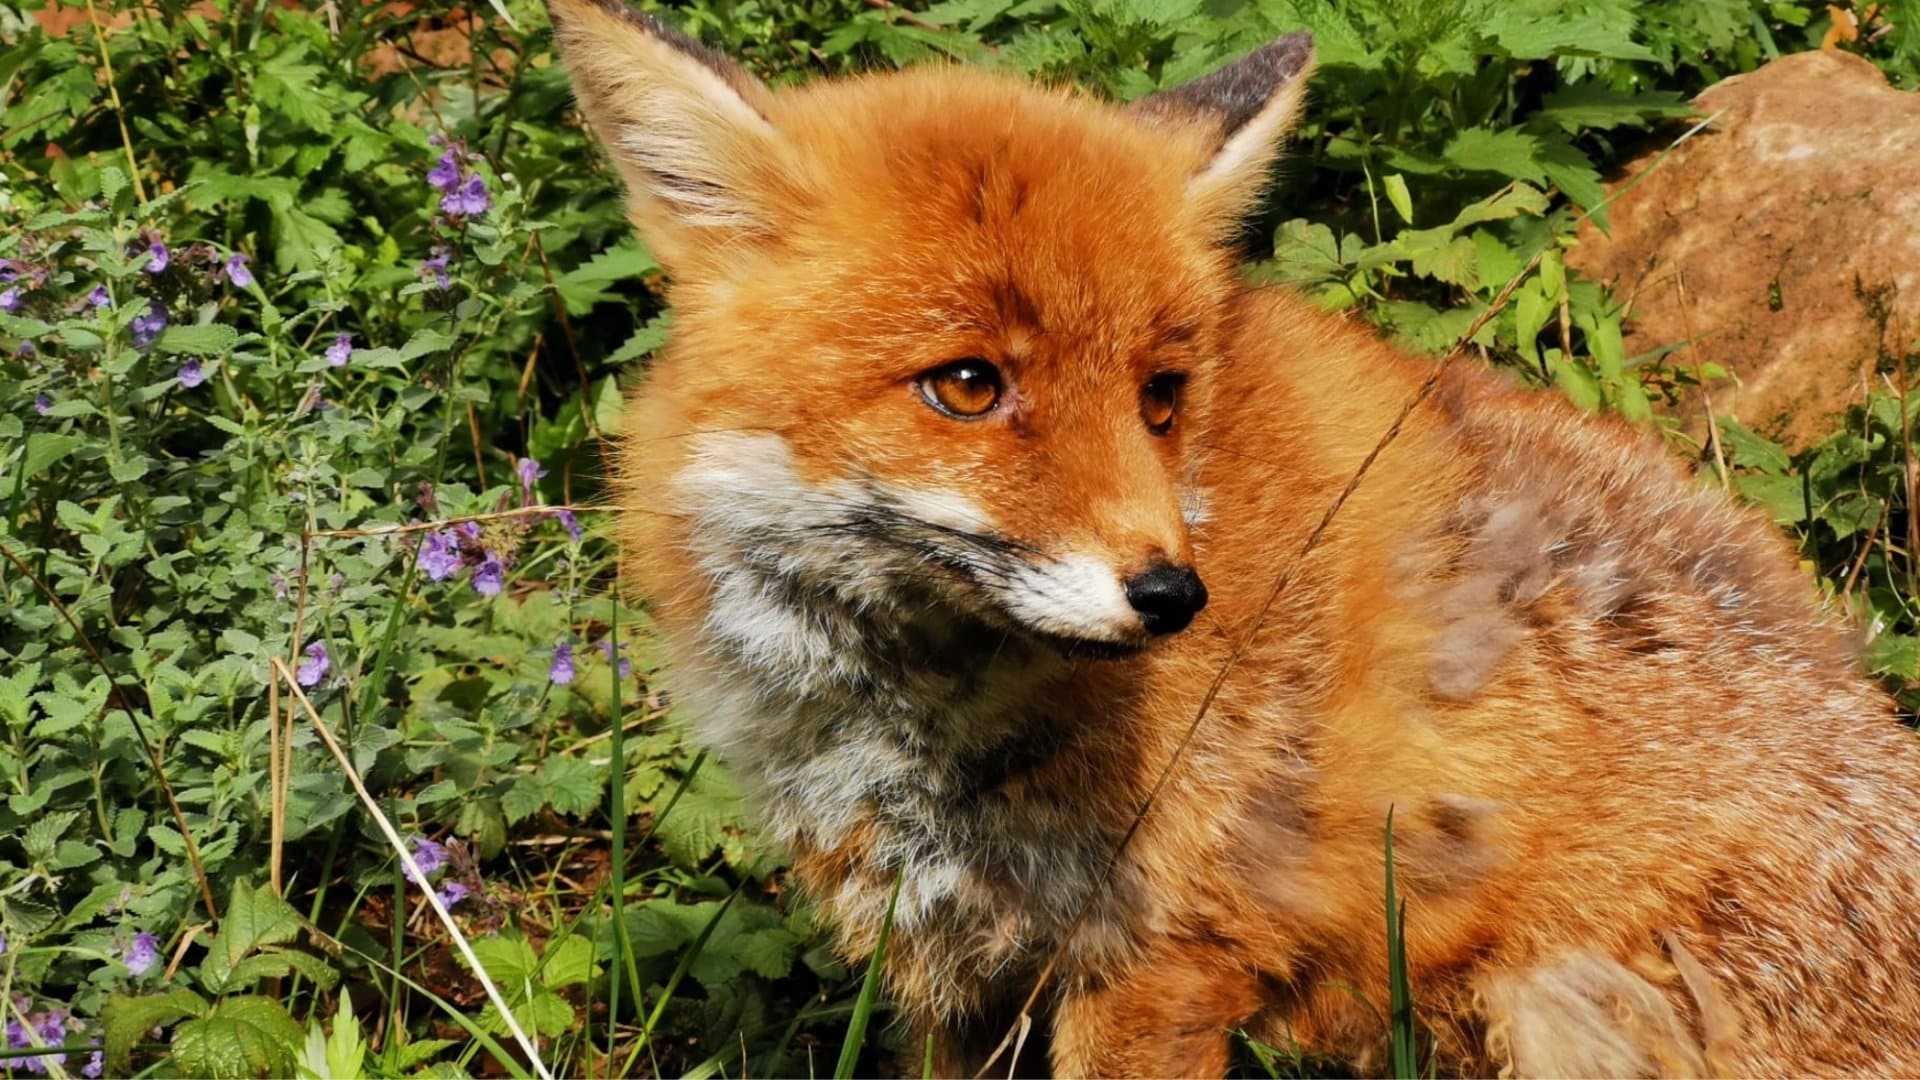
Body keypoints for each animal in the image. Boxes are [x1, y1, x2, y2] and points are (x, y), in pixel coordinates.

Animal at [546, 1, 1920, 1074]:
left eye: (1161, 397)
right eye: (969, 386)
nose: (1171, 596)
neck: (922, 724)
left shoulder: (1162, 952)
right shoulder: (950, 962)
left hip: (1552, 1002)